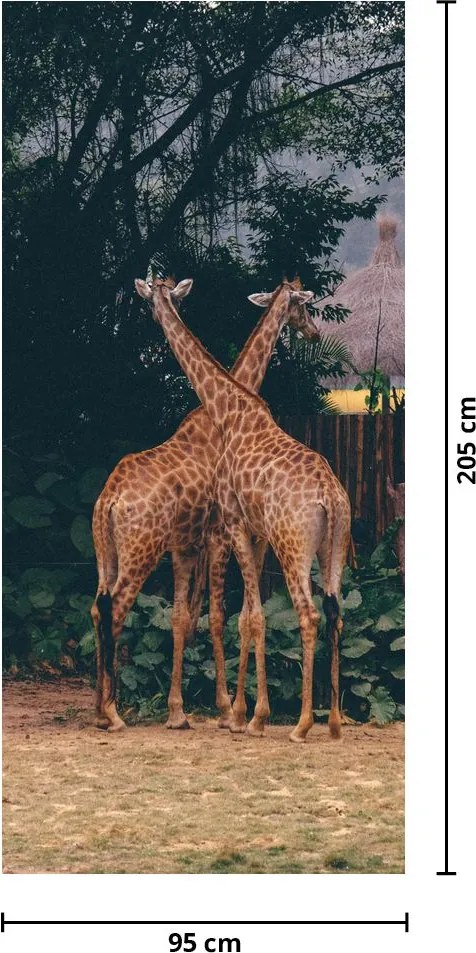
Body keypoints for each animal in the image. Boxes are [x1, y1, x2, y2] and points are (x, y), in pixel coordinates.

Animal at [91, 277, 319, 731]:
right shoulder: (217, 535)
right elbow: (220, 616)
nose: (315, 334)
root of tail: (109, 499)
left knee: (96, 607)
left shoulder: (186, 544)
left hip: (108, 554)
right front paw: (228, 709)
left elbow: (183, 618)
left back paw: (100, 707)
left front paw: (180, 711)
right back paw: (112, 713)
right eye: (304, 307)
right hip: (141, 552)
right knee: (116, 609)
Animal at [135, 276, 351, 743]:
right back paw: (331, 722)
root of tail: (331, 496)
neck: (230, 410)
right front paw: (243, 712)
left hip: (291, 548)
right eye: (303, 309)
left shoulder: (237, 526)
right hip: (331, 549)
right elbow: (245, 616)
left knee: (306, 614)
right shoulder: (248, 533)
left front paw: (245, 714)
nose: (314, 334)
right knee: (334, 614)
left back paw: (301, 723)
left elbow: (244, 618)